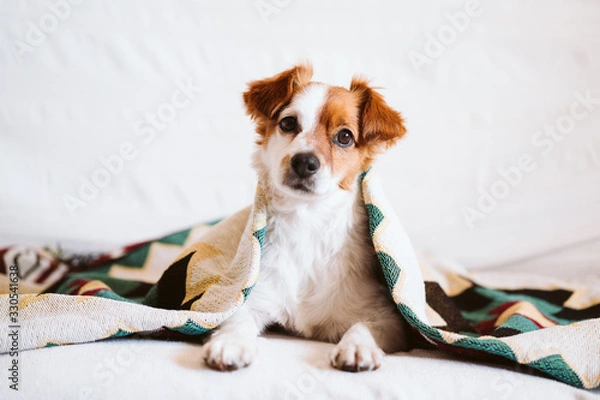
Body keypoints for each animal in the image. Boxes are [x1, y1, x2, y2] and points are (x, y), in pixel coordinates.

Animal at [204, 62, 410, 372]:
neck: (308, 220)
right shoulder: (252, 295)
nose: (304, 162)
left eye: (345, 137)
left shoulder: (389, 318)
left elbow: (363, 326)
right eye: (288, 123)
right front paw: (230, 343)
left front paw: (356, 347)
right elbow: (236, 318)